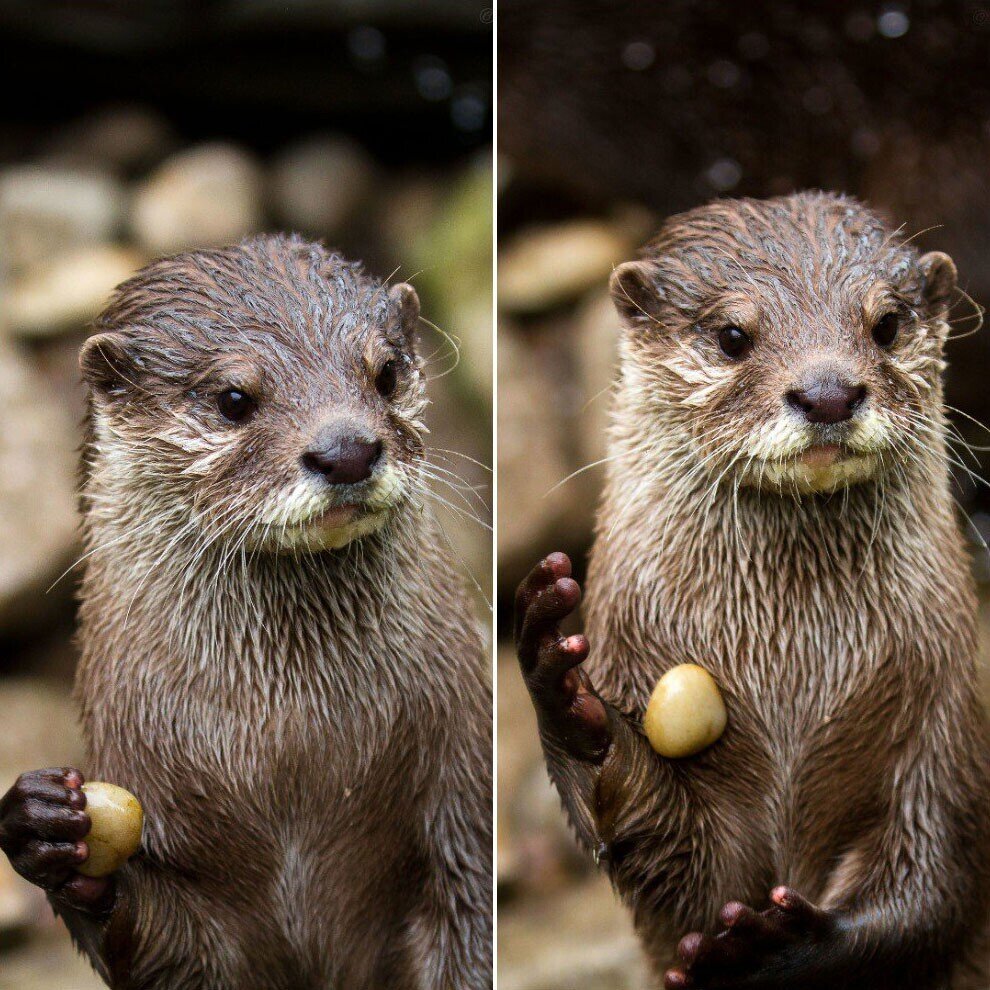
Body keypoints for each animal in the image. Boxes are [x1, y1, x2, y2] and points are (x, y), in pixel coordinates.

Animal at [0, 238, 494, 990]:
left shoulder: (464, 795)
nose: (347, 449)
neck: (292, 752)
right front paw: (42, 829)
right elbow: (170, 953)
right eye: (234, 398)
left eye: (385, 373)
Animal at [516, 194, 990, 990]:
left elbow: (933, 893)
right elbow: (674, 861)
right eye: (733, 335)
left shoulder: (946, 723)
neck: (794, 676)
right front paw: (563, 688)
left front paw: (777, 948)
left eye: (886, 325)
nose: (828, 392)